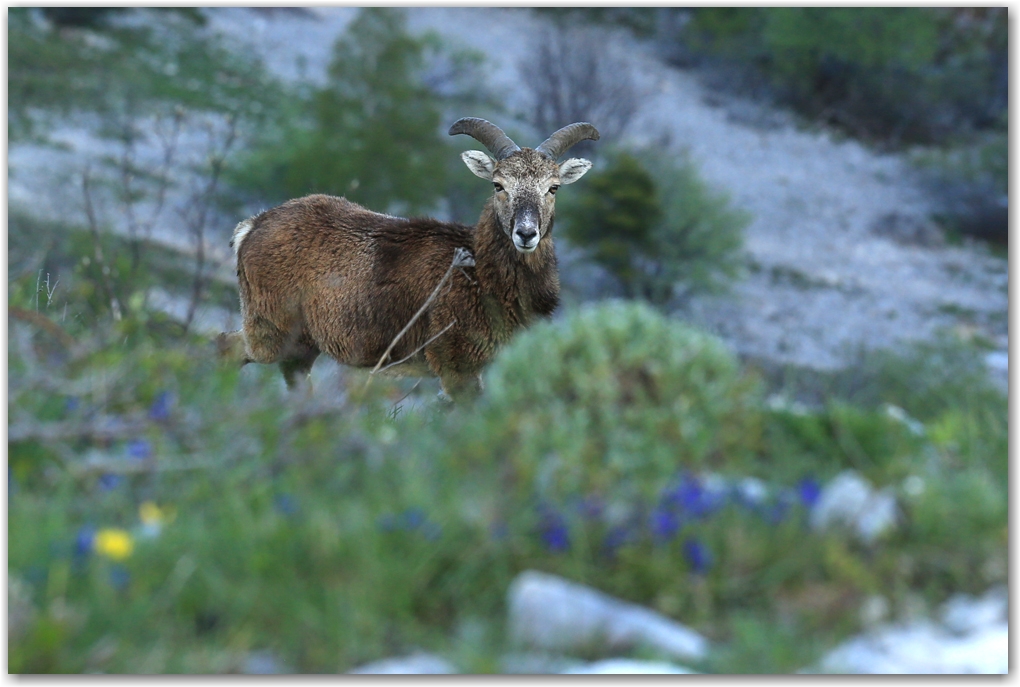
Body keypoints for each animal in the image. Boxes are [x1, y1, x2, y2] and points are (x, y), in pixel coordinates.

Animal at [215, 115, 595, 399]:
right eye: (498, 185)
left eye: (553, 187)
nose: (526, 233)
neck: (482, 279)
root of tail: (252, 227)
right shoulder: (457, 367)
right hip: (270, 328)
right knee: (227, 346)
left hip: (302, 346)